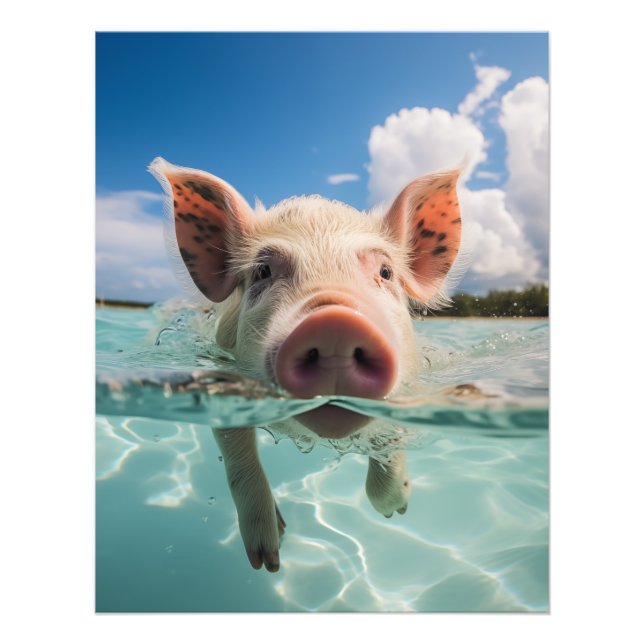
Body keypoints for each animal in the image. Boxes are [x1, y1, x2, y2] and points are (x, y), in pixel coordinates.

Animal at [149, 157, 462, 572]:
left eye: (385, 272)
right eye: (262, 272)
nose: (335, 323)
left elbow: (389, 439)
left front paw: (396, 510)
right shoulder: (220, 383)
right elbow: (238, 457)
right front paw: (267, 559)